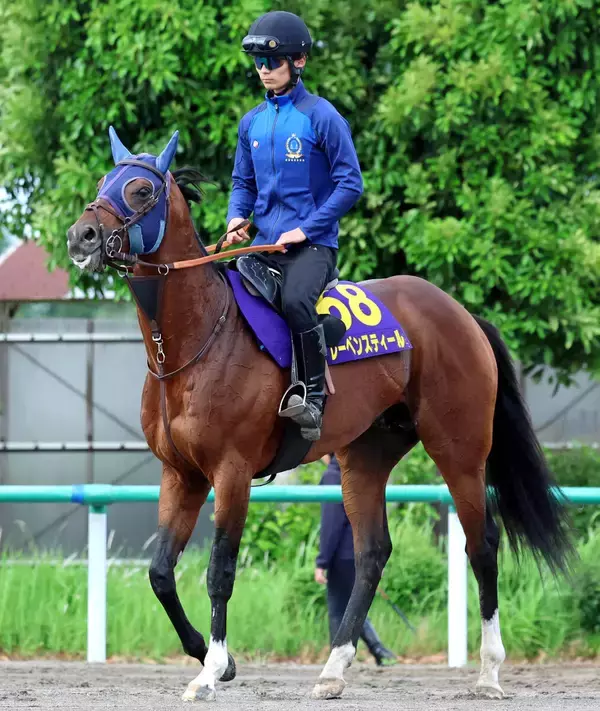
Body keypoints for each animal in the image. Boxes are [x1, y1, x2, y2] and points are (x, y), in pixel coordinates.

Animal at [66, 128, 570, 702]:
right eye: (102, 183)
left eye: (142, 191)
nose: (81, 236)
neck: (199, 338)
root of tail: (461, 313)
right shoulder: (181, 474)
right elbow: (160, 573)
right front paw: (212, 658)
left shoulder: (231, 472)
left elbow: (220, 571)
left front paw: (212, 670)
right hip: (364, 459)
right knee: (372, 553)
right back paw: (333, 668)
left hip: (459, 451)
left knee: (482, 545)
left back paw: (488, 671)